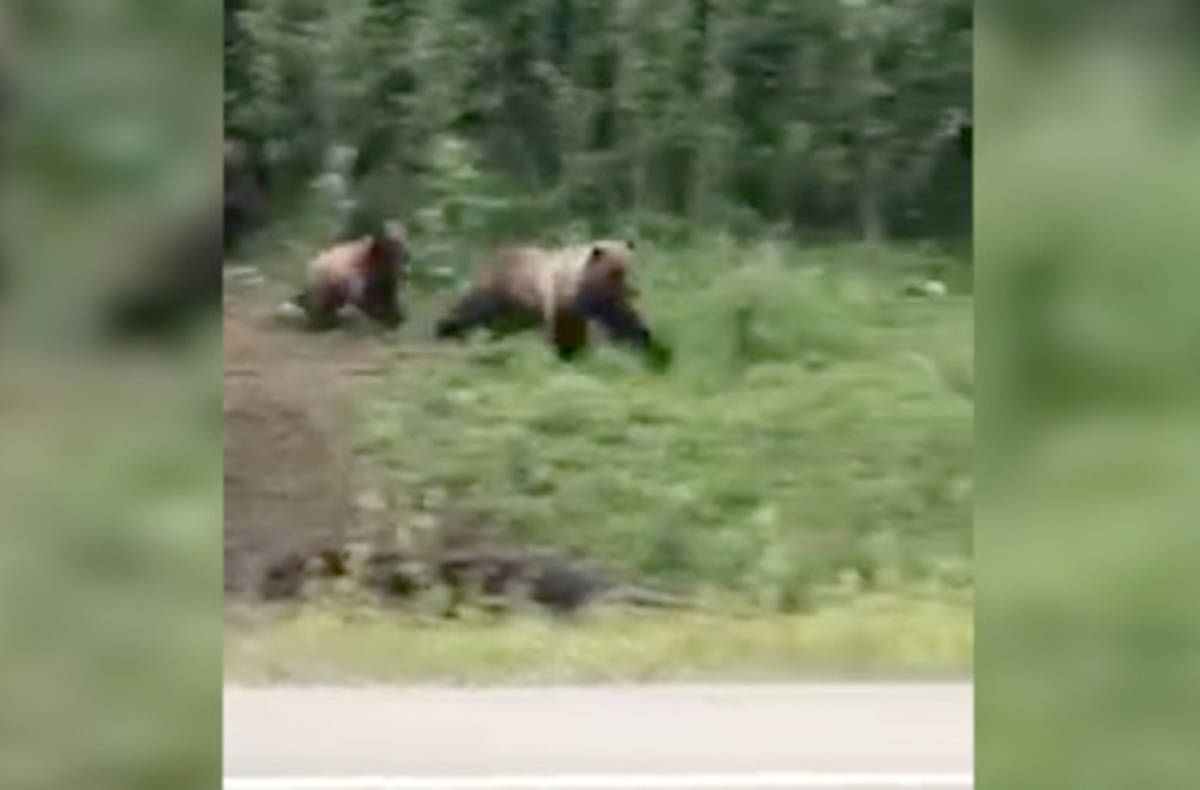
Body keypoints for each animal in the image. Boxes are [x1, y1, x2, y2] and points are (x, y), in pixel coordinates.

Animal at [436, 238, 672, 367]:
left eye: (628, 268)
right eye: (615, 272)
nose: (633, 290)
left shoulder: (600, 304)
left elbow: (625, 322)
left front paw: (654, 349)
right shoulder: (565, 299)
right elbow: (563, 330)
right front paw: (568, 354)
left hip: (515, 313)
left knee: (496, 326)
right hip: (499, 292)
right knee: (469, 311)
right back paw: (446, 330)